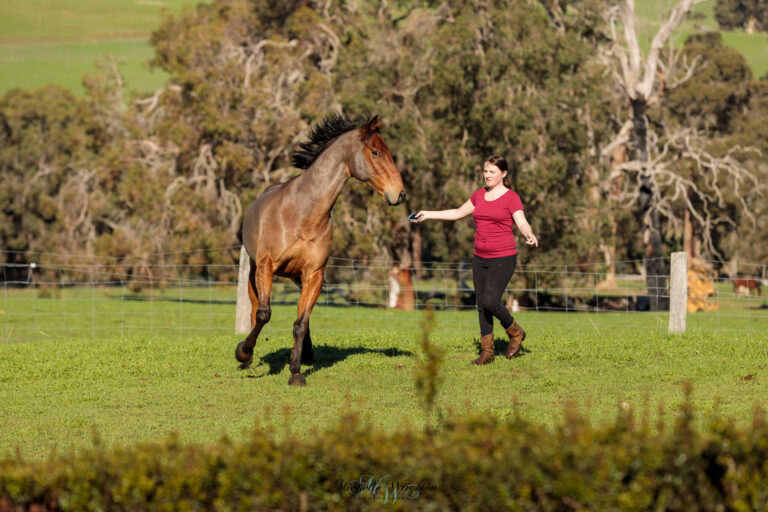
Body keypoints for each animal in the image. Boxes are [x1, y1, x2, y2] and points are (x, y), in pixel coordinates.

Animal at [234, 112, 404, 384]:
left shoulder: (315, 274)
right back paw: (247, 359)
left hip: (297, 276)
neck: (302, 213)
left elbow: (301, 323)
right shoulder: (266, 266)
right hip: (253, 271)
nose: (399, 193)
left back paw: (306, 353)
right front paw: (243, 352)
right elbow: (263, 314)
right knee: (253, 310)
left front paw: (295, 371)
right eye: (376, 152)